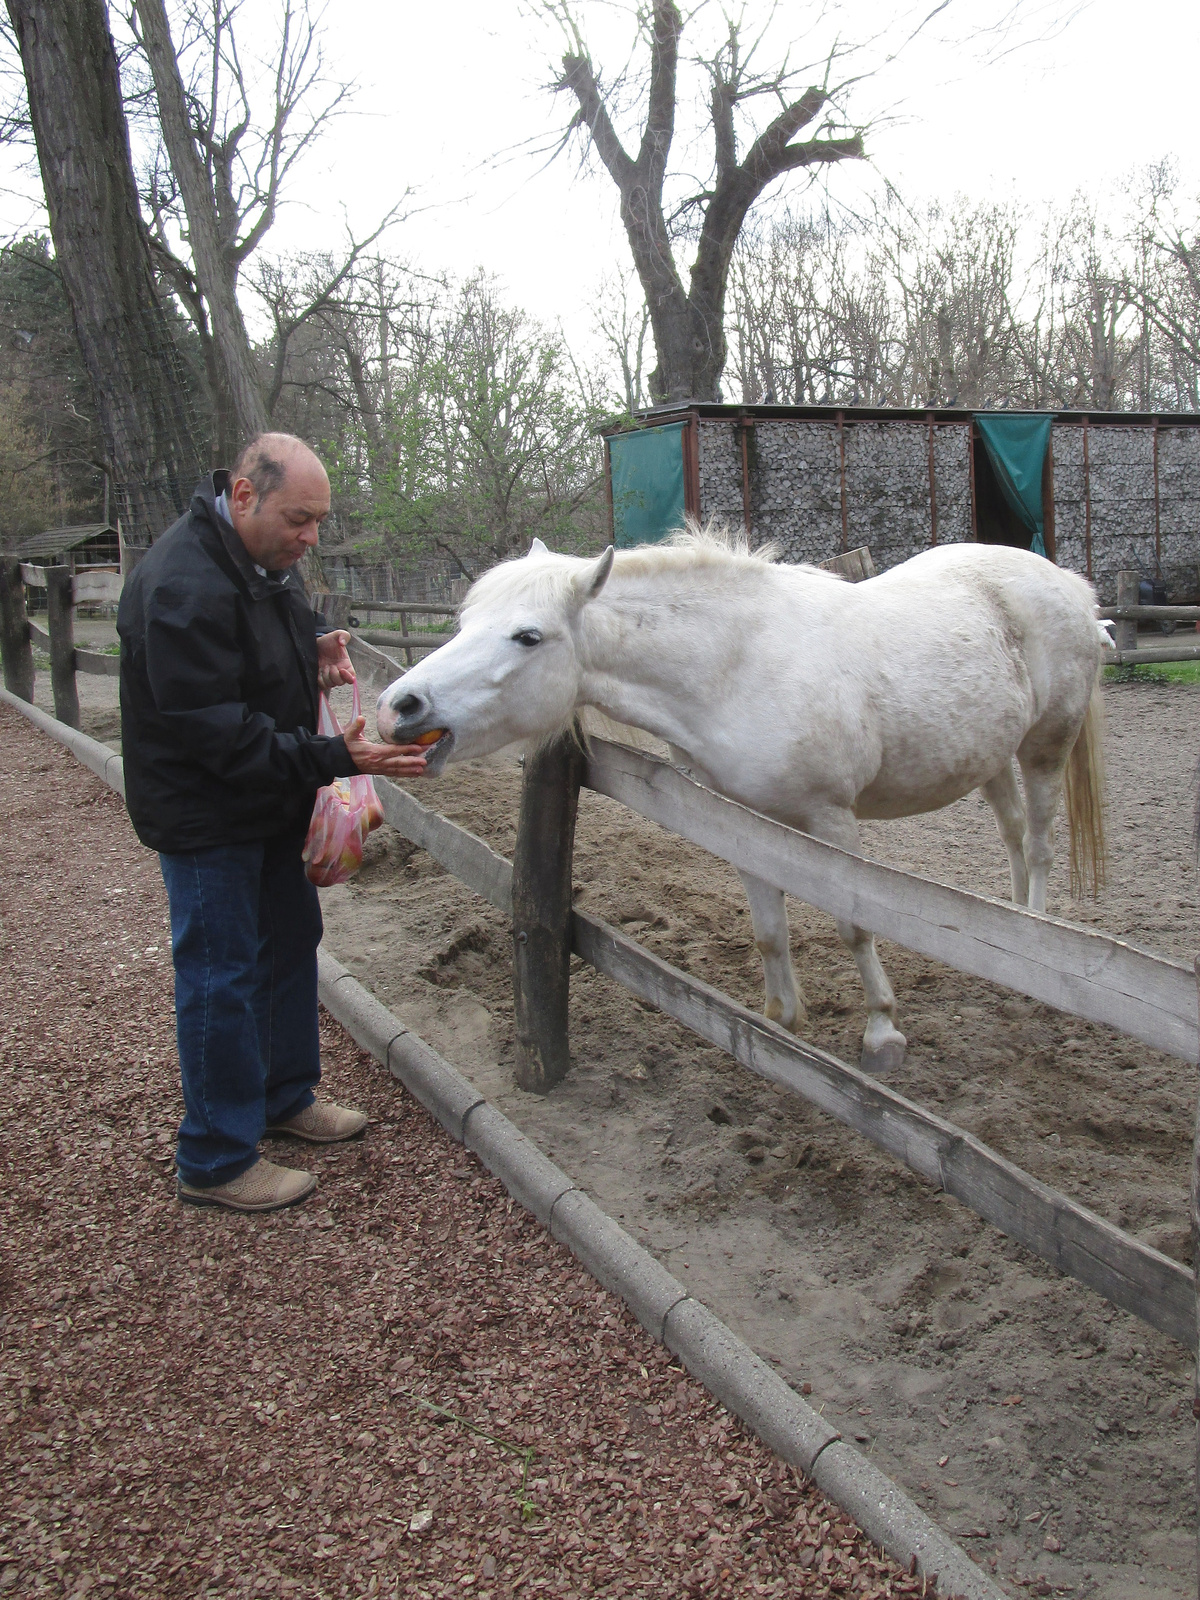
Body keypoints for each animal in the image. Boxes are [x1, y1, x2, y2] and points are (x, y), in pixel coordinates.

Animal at [376, 528, 1107, 1075]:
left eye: (527, 636)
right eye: (465, 621)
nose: (398, 707)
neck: (740, 664)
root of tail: (1070, 585)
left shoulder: (828, 819)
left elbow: (854, 924)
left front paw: (882, 1032)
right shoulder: (746, 823)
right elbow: (768, 930)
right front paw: (779, 1022)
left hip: (1046, 748)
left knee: (1039, 844)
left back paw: (1033, 948)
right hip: (988, 757)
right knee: (1013, 838)